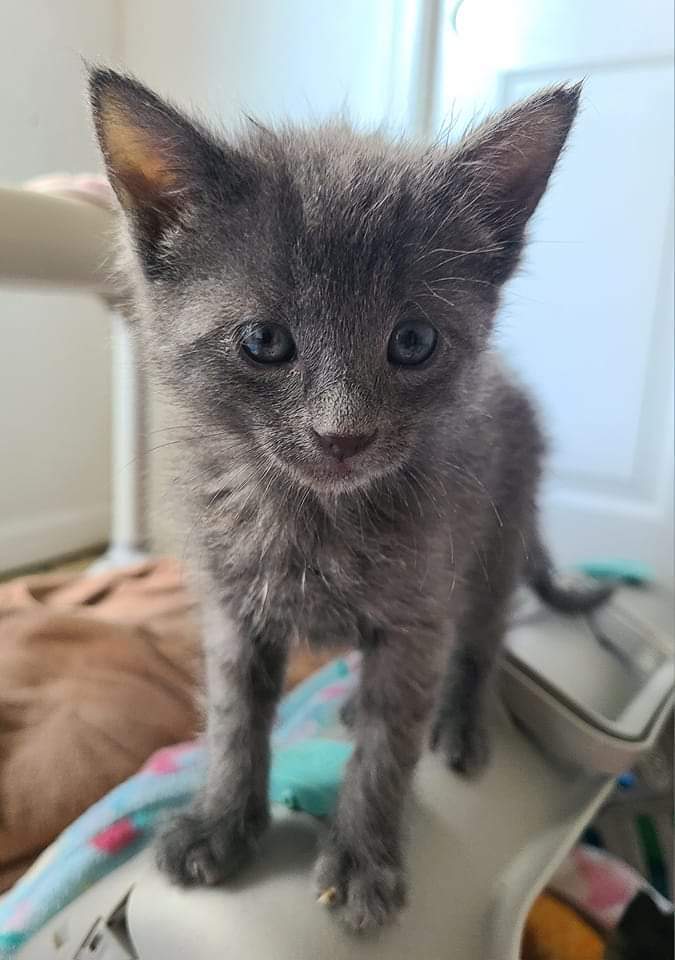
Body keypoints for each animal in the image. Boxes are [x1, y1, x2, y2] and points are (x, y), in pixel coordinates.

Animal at [90, 69, 612, 928]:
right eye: (263, 341)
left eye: (414, 342)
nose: (343, 435)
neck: (311, 517)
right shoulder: (231, 607)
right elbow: (234, 718)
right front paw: (220, 823)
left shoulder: (416, 613)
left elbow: (387, 743)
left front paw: (363, 860)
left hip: (494, 541)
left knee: (478, 639)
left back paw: (458, 720)